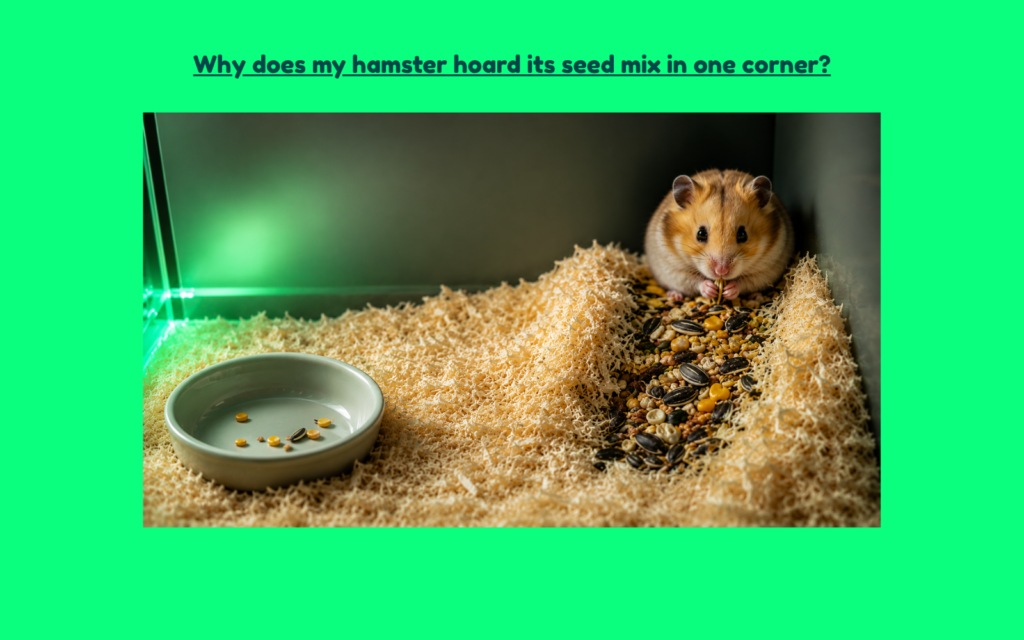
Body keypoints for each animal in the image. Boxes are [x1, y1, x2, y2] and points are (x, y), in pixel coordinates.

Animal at [644, 169, 794, 301]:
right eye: (701, 234)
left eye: (742, 234)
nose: (721, 271)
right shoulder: (673, 269)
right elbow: (694, 280)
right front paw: (710, 289)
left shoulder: (766, 270)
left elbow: (744, 282)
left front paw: (729, 290)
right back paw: (674, 296)